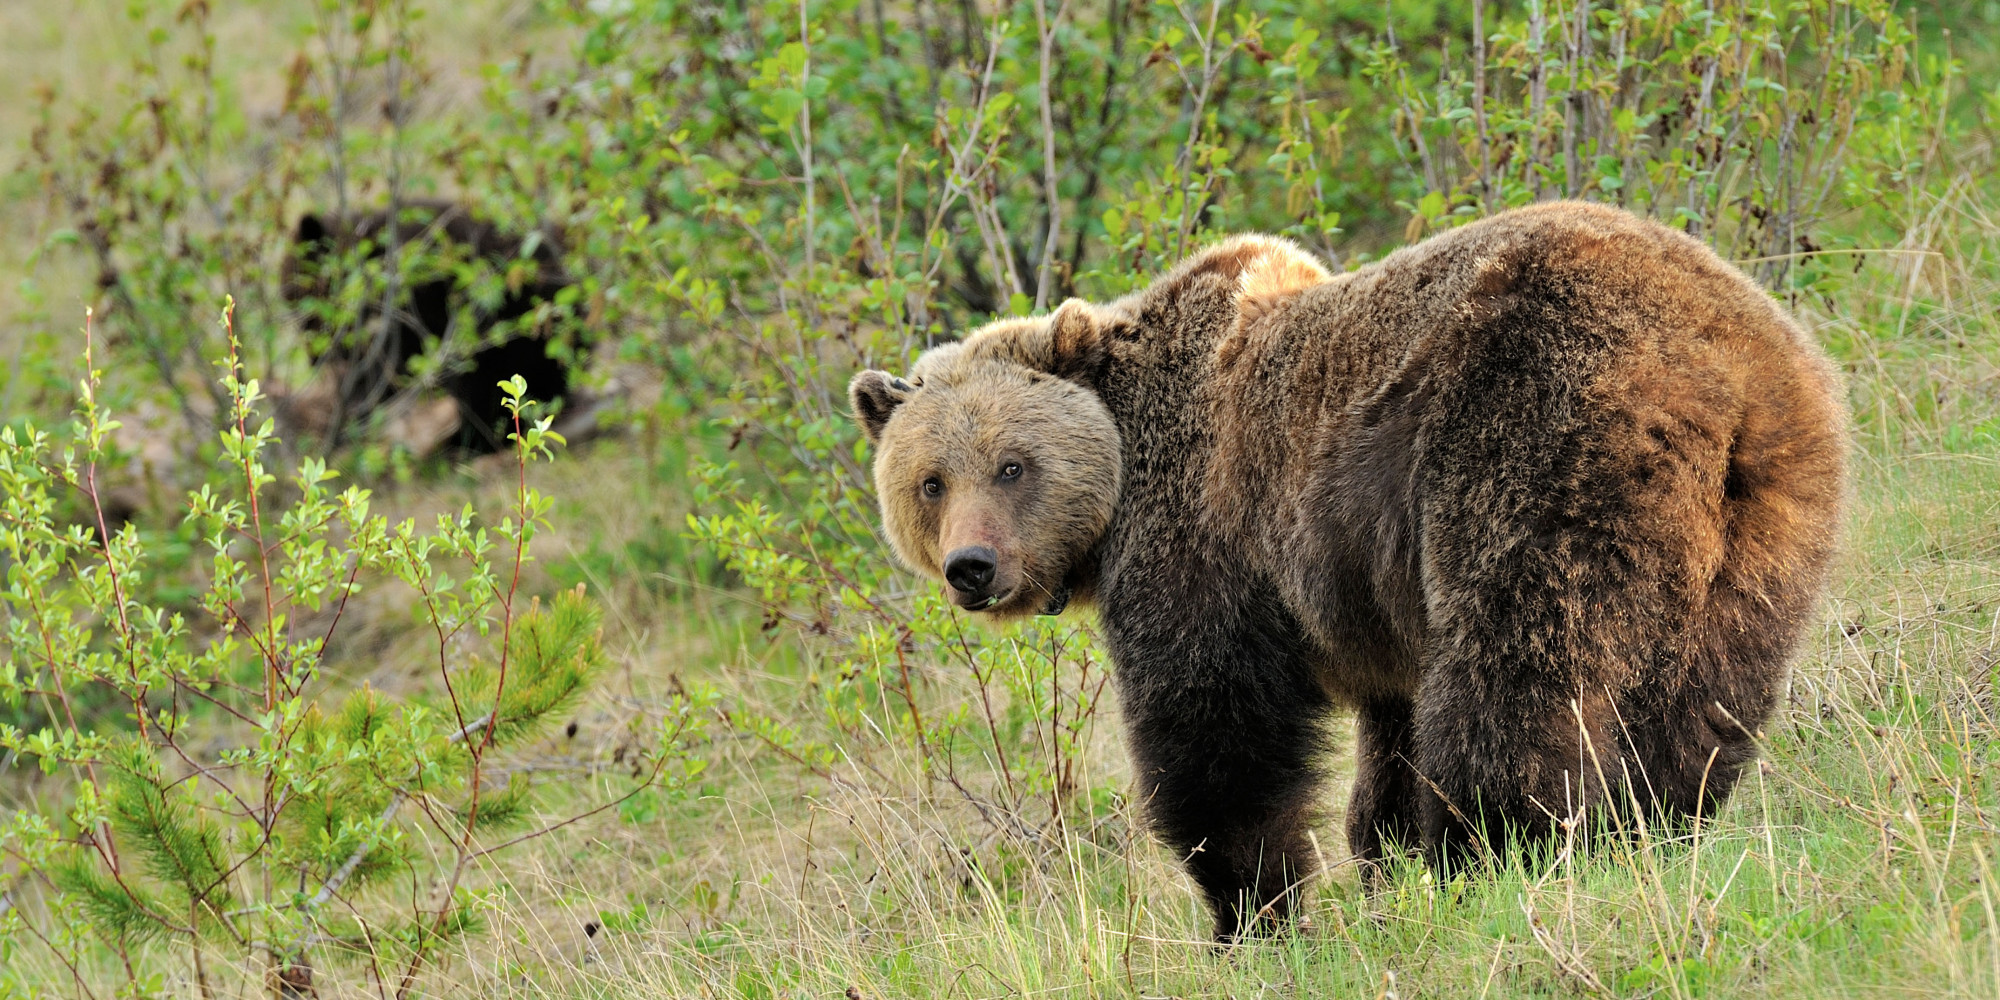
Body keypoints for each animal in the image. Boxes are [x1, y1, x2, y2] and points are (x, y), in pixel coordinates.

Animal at [844, 201, 1840, 936]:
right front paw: (1379, 865)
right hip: (1770, 506)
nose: (972, 567)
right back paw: (1657, 828)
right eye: (930, 481)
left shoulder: (1205, 537)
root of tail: (1713, 365)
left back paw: (1497, 853)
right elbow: (1386, 736)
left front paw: (1253, 912)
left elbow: (1218, 736)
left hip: (1533, 432)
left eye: (1013, 465)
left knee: (1514, 676)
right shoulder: (1366, 595)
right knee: (1707, 693)